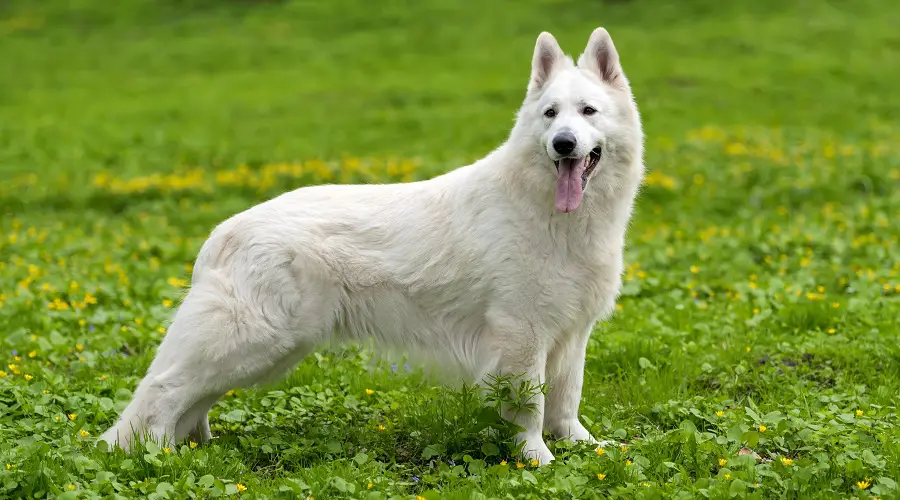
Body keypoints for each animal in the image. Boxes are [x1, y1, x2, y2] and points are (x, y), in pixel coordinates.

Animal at [102, 27, 644, 464]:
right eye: (550, 114)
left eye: (588, 111)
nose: (563, 144)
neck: (553, 213)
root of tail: (223, 231)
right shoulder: (521, 334)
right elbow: (531, 406)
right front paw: (537, 459)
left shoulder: (571, 336)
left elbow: (566, 401)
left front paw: (582, 447)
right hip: (253, 341)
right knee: (163, 389)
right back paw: (152, 454)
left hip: (267, 352)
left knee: (190, 398)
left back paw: (187, 448)